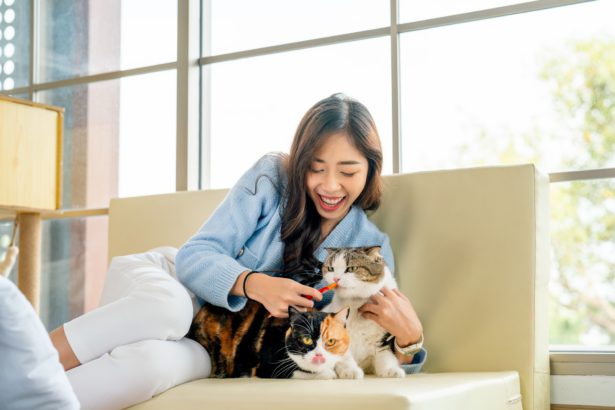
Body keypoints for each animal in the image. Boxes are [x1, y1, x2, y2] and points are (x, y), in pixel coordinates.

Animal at [188, 296, 352, 380]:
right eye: (306, 339)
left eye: (330, 341)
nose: (319, 355)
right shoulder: (266, 368)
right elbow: (303, 372)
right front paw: (329, 373)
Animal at [320, 247, 406, 378]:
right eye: (330, 268)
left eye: (351, 268)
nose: (336, 279)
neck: (356, 303)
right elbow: (344, 356)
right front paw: (350, 371)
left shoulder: (381, 340)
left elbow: (386, 357)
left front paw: (391, 370)